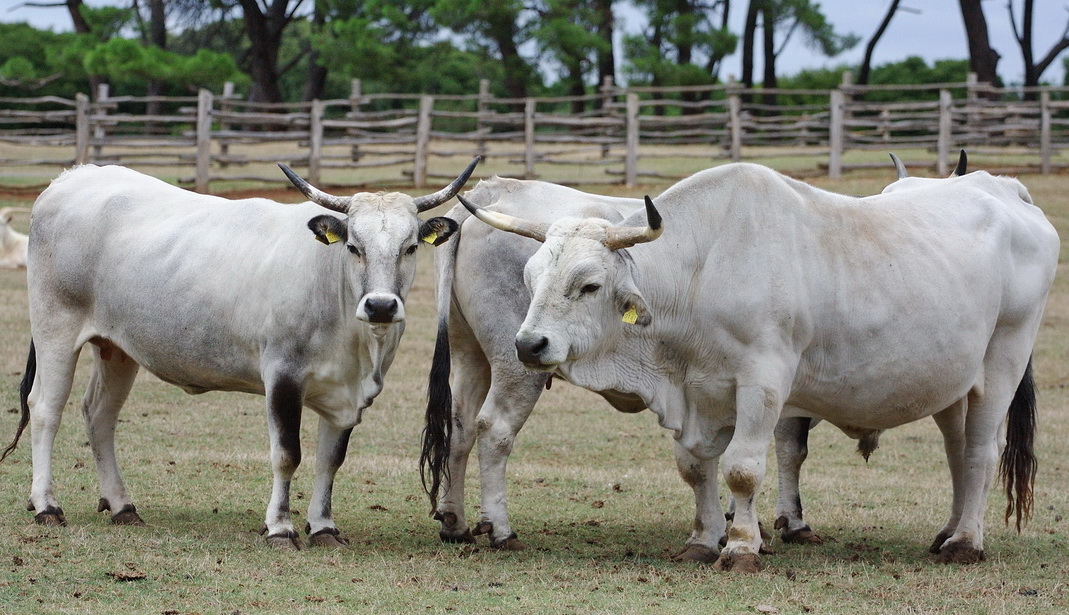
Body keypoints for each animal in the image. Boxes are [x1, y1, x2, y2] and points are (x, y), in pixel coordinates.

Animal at [0, 157, 476, 547]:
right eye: (353, 247)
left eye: (410, 247)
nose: (380, 305)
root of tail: (71, 178)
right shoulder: (282, 376)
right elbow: (287, 455)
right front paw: (280, 528)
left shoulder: (347, 395)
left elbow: (330, 460)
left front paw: (323, 527)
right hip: (55, 327)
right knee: (46, 408)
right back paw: (46, 505)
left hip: (117, 348)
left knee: (99, 415)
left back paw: (122, 505)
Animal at [451, 161, 1060, 569]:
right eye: (531, 277)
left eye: (589, 284)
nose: (529, 345)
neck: (703, 267)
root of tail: (1006, 191)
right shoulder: (697, 390)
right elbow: (695, 466)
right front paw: (702, 540)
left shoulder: (764, 383)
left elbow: (743, 468)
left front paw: (741, 546)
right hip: (953, 385)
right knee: (959, 453)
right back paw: (949, 530)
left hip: (1001, 365)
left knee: (981, 452)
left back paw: (966, 543)